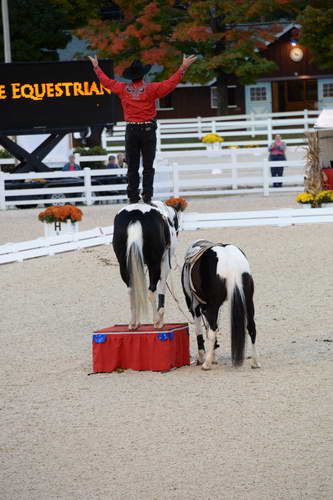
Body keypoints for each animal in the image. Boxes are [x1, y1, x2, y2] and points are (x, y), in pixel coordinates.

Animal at [111, 197, 184, 330]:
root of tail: (135, 216)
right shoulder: (164, 262)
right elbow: (161, 288)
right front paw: (160, 318)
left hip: (124, 265)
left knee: (131, 290)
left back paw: (133, 323)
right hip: (154, 264)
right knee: (151, 290)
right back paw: (156, 321)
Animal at [182, 238, 260, 372]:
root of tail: (231, 263)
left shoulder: (194, 306)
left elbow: (201, 331)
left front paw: (203, 357)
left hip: (213, 305)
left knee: (212, 331)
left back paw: (206, 364)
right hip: (248, 301)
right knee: (252, 328)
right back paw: (255, 362)